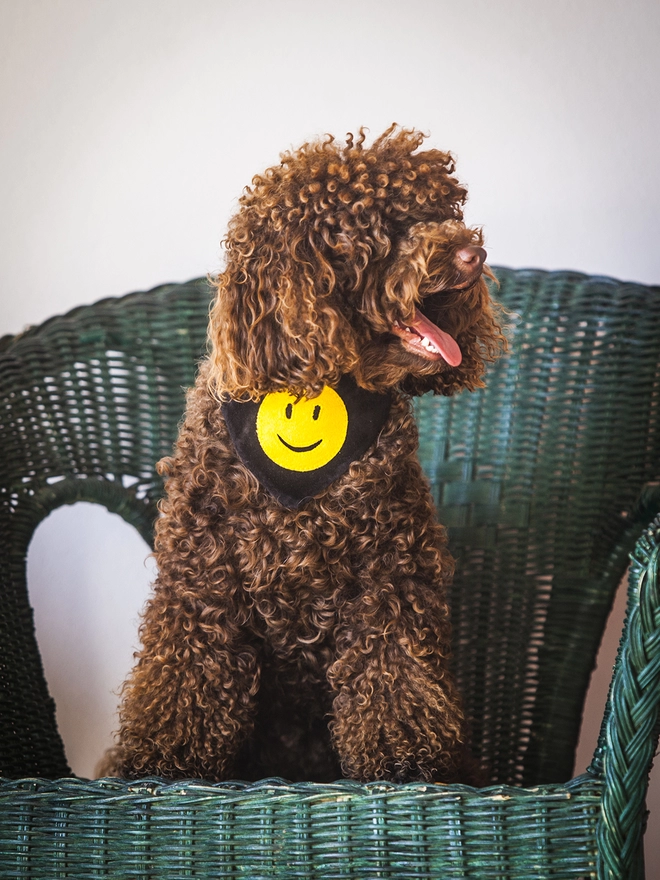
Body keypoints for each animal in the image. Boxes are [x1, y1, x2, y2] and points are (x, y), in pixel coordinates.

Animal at [104, 124, 506, 784]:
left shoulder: (391, 578)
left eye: (442, 212)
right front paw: (163, 759)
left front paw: (402, 756)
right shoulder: (200, 586)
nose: (473, 254)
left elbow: (394, 674)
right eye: (380, 225)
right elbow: (186, 679)